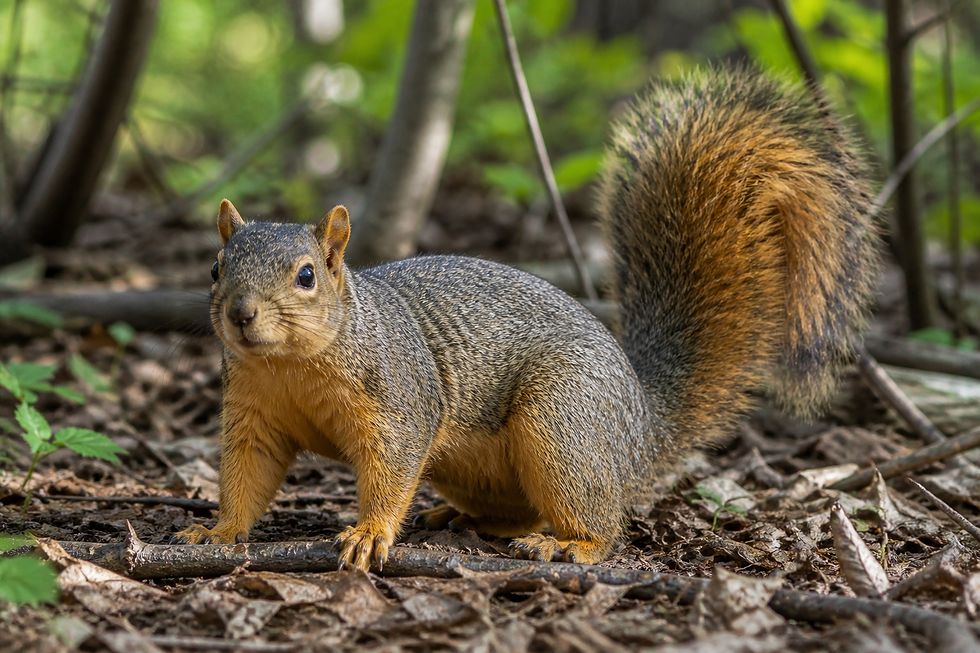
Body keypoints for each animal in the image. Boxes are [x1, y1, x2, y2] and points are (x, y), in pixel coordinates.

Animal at [172, 67, 878, 570]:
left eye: (306, 276)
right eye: (214, 267)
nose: (240, 315)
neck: (293, 362)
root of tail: (641, 426)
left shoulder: (398, 401)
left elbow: (391, 470)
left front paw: (370, 532)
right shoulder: (256, 413)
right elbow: (248, 475)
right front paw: (217, 530)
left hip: (562, 425)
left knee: (602, 524)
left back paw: (571, 546)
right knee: (524, 510)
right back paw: (464, 521)